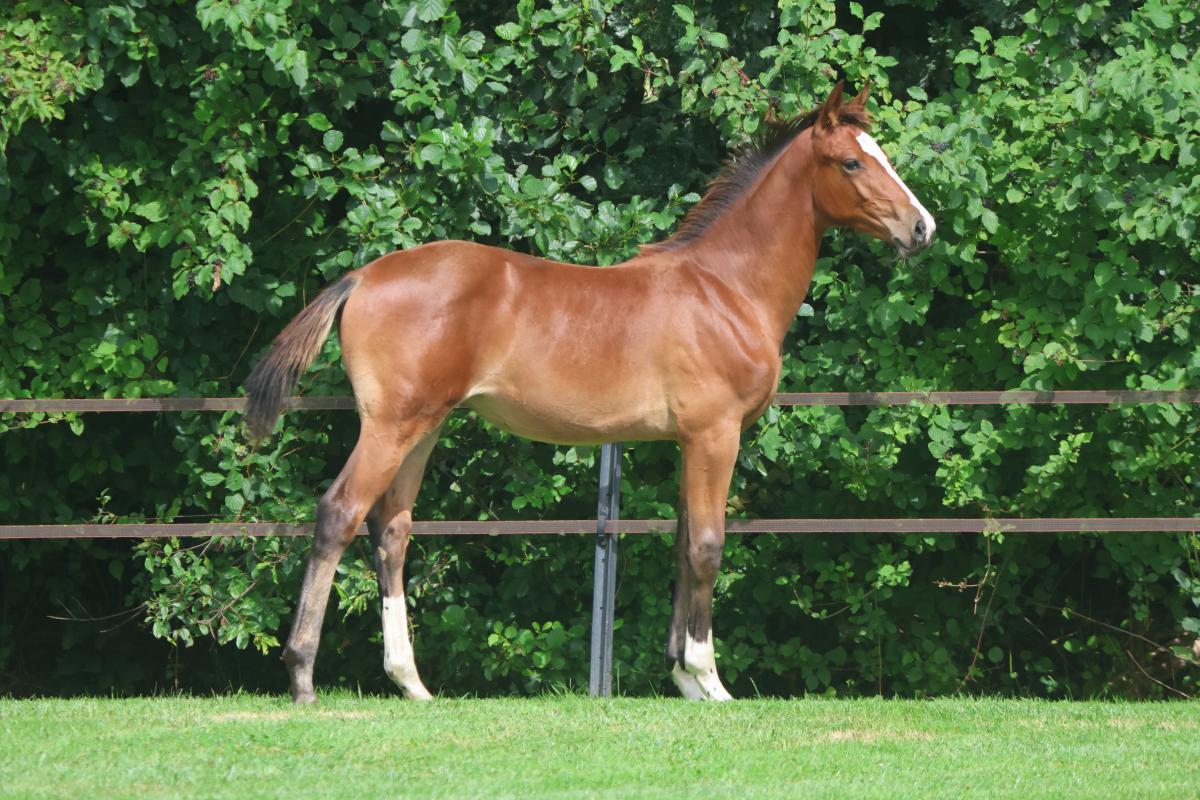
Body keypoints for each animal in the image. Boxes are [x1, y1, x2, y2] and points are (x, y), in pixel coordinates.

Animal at [244, 81, 935, 703]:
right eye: (852, 161)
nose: (922, 227)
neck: (724, 287)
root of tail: (363, 277)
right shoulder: (715, 434)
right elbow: (708, 547)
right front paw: (712, 682)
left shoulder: (687, 441)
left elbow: (682, 544)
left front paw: (683, 680)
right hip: (392, 425)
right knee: (339, 513)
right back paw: (303, 679)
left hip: (424, 426)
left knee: (391, 530)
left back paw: (412, 684)